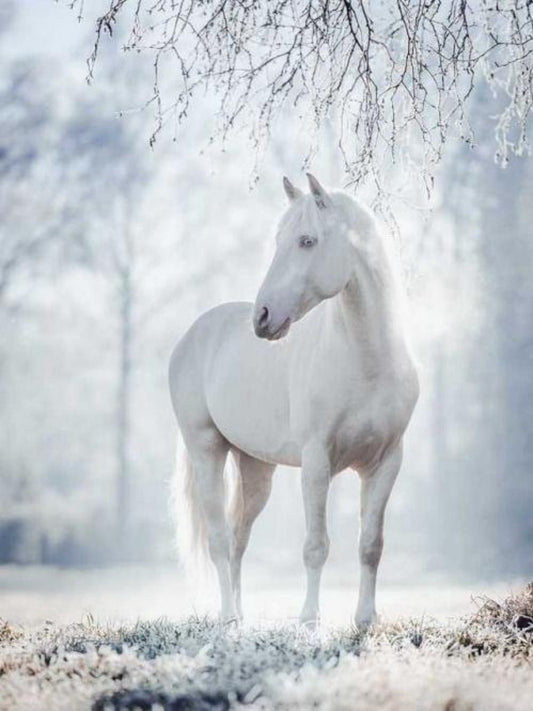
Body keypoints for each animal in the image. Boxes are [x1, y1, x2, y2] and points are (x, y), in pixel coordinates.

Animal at [169, 173, 419, 629]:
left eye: (306, 241)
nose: (262, 317)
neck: (367, 361)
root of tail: (193, 334)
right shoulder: (317, 463)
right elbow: (316, 545)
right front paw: (309, 619)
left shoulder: (387, 462)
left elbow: (371, 544)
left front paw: (365, 620)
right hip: (207, 451)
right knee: (219, 539)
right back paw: (228, 617)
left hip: (256, 470)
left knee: (239, 538)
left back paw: (242, 616)